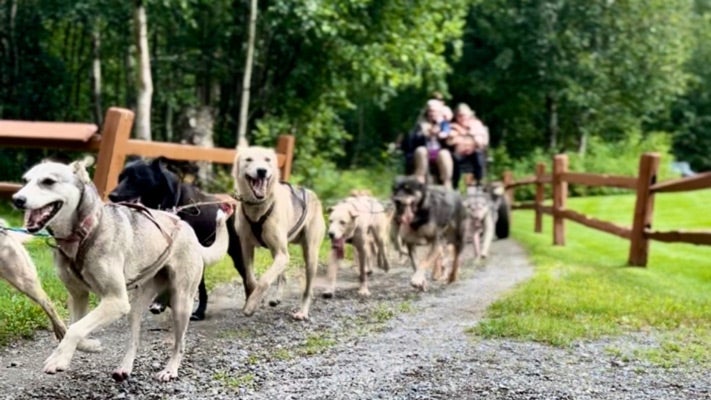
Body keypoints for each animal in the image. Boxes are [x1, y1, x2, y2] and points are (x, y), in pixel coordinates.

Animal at [105, 158, 250, 320]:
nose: (112, 195)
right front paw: (161, 303)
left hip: (236, 253)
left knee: (245, 277)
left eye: (136, 178)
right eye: (120, 178)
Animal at [234, 145, 326, 320]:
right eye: (249, 159)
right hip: (277, 251)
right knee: (283, 276)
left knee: (308, 289)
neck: (258, 207)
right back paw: (276, 297)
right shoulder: (246, 247)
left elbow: (264, 279)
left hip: (309, 255)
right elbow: (251, 278)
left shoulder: (282, 255)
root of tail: (313, 194)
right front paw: (255, 299)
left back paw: (302, 311)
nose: (262, 171)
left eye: (267, 160)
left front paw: (251, 305)